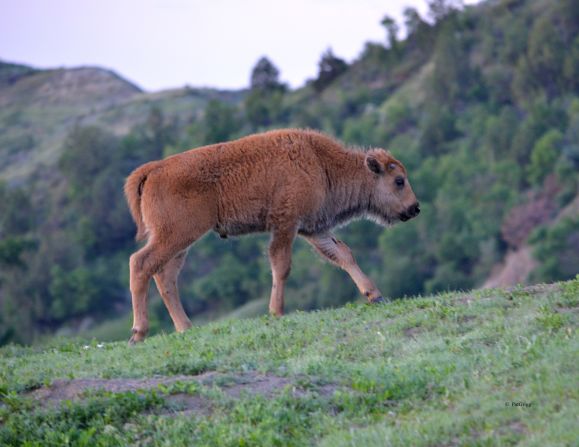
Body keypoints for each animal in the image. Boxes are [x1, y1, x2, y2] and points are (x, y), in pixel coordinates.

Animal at [124, 128, 420, 344]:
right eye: (399, 181)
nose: (415, 208)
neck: (320, 163)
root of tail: (153, 169)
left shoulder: (313, 229)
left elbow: (343, 254)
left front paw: (376, 296)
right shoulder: (286, 225)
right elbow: (281, 265)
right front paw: (276, 312)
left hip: (181, 242)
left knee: (165, 276)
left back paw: (185, 327)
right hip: (176, 234)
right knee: (140, 263)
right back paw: (138, 334)